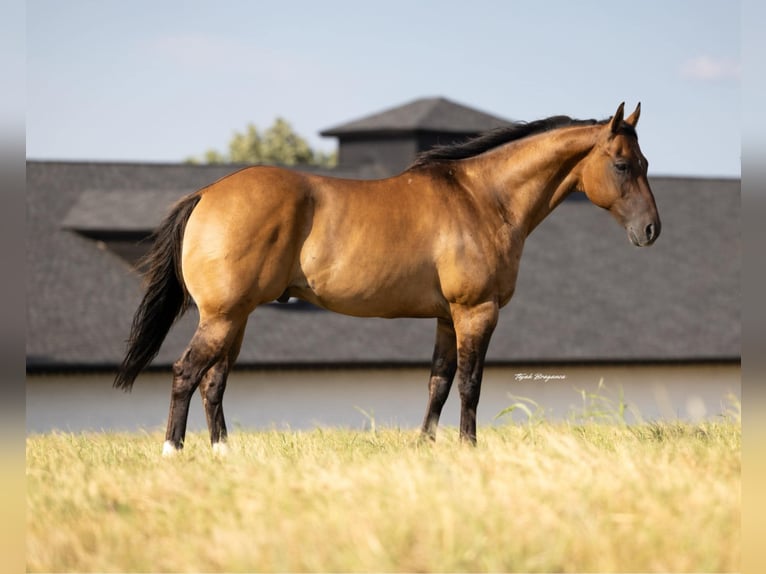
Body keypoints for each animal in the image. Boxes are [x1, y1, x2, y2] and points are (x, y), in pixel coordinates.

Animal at [114, 102, 660, 455]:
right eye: (622, 164)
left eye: (645, 162)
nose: (651, 230)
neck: (483, 198)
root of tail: (207, 194)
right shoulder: (475, 311)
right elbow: (470, 383)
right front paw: (468, 448)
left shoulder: (446, 317)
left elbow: (439, 382)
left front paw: (426, 446)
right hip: (224, 316)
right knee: (186, 373)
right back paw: (173, 451)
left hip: (237, 318)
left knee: (214, 381)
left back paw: (223, 453)